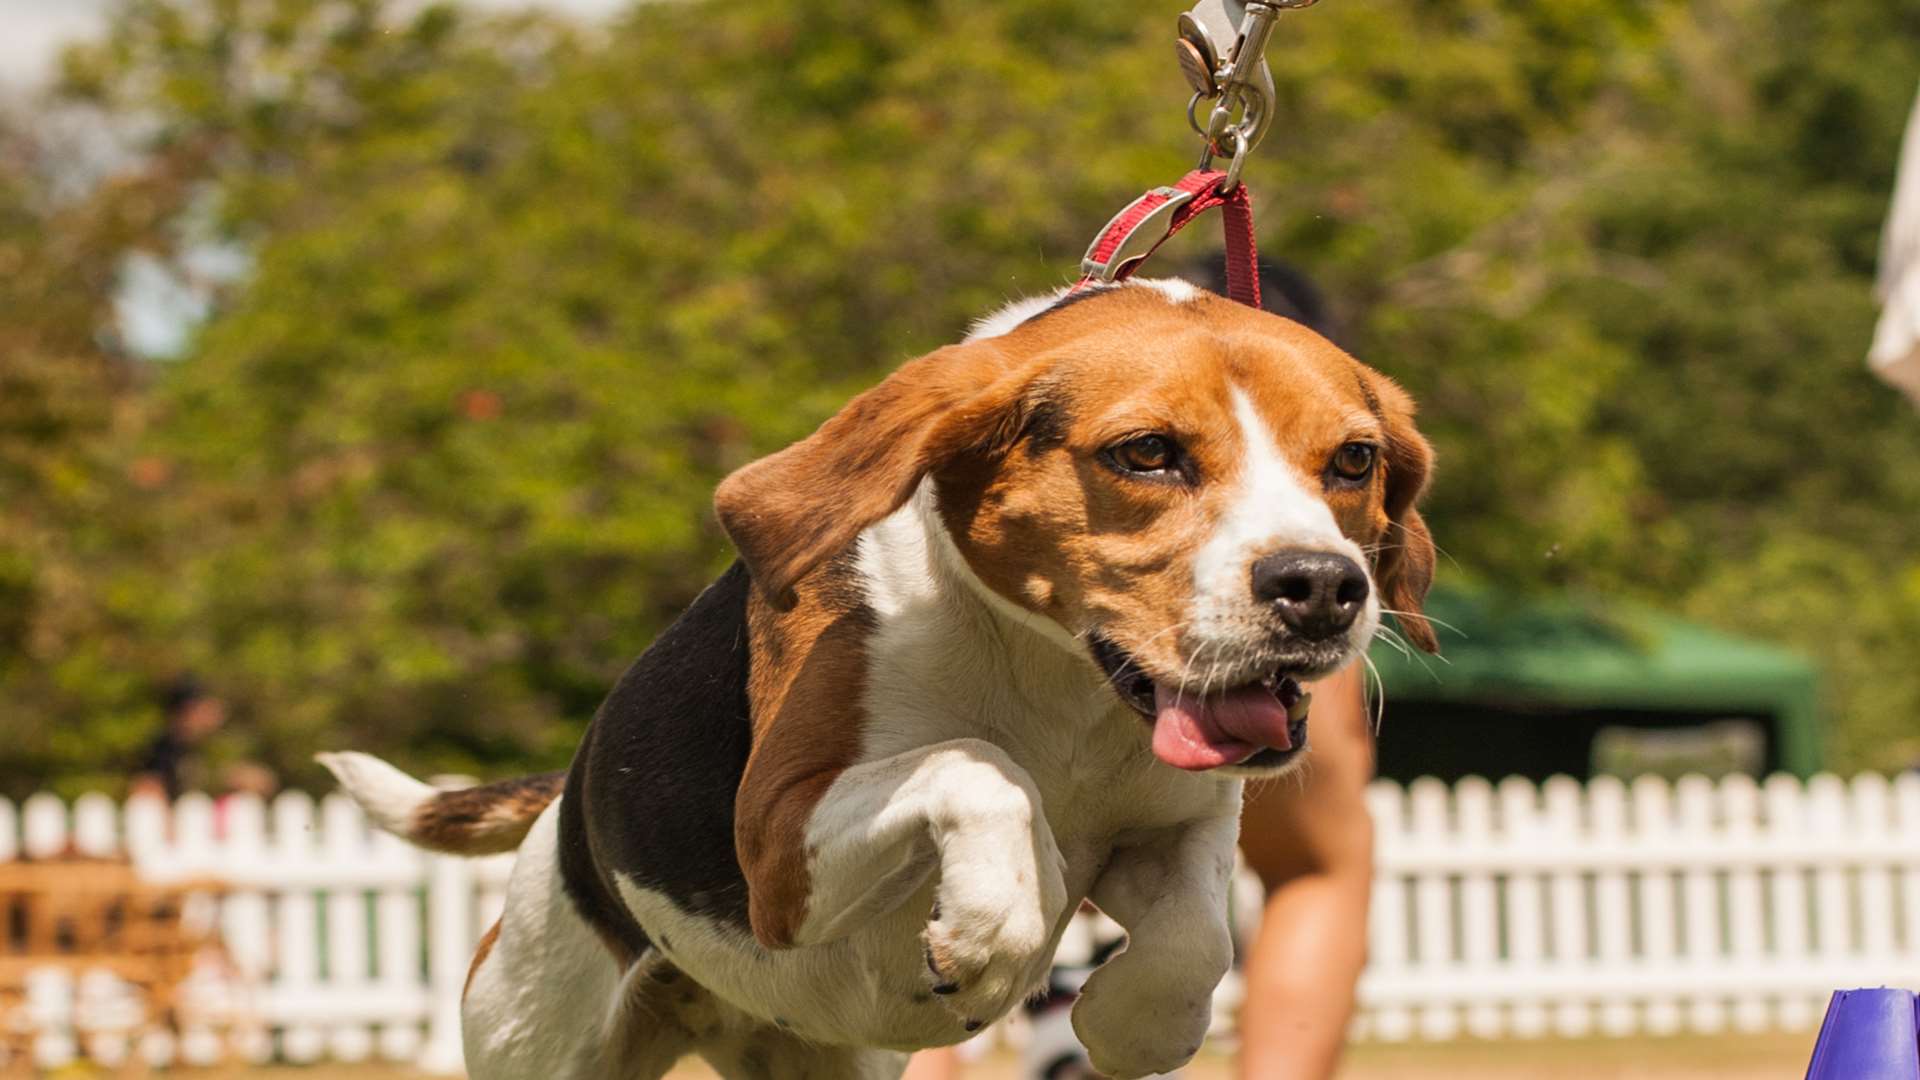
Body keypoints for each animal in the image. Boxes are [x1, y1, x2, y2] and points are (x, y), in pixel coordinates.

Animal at [318, 278, 1428, 1076]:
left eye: (1354, 461)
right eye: (1147, 453)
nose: (1322, 588)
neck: (1061, 679)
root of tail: (565, 804)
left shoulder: (1182, 822)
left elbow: (1196, 936)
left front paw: (1130, 1023)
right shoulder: (776, 846)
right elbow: (978, 765)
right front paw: (997, 925)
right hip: (539, 1029)